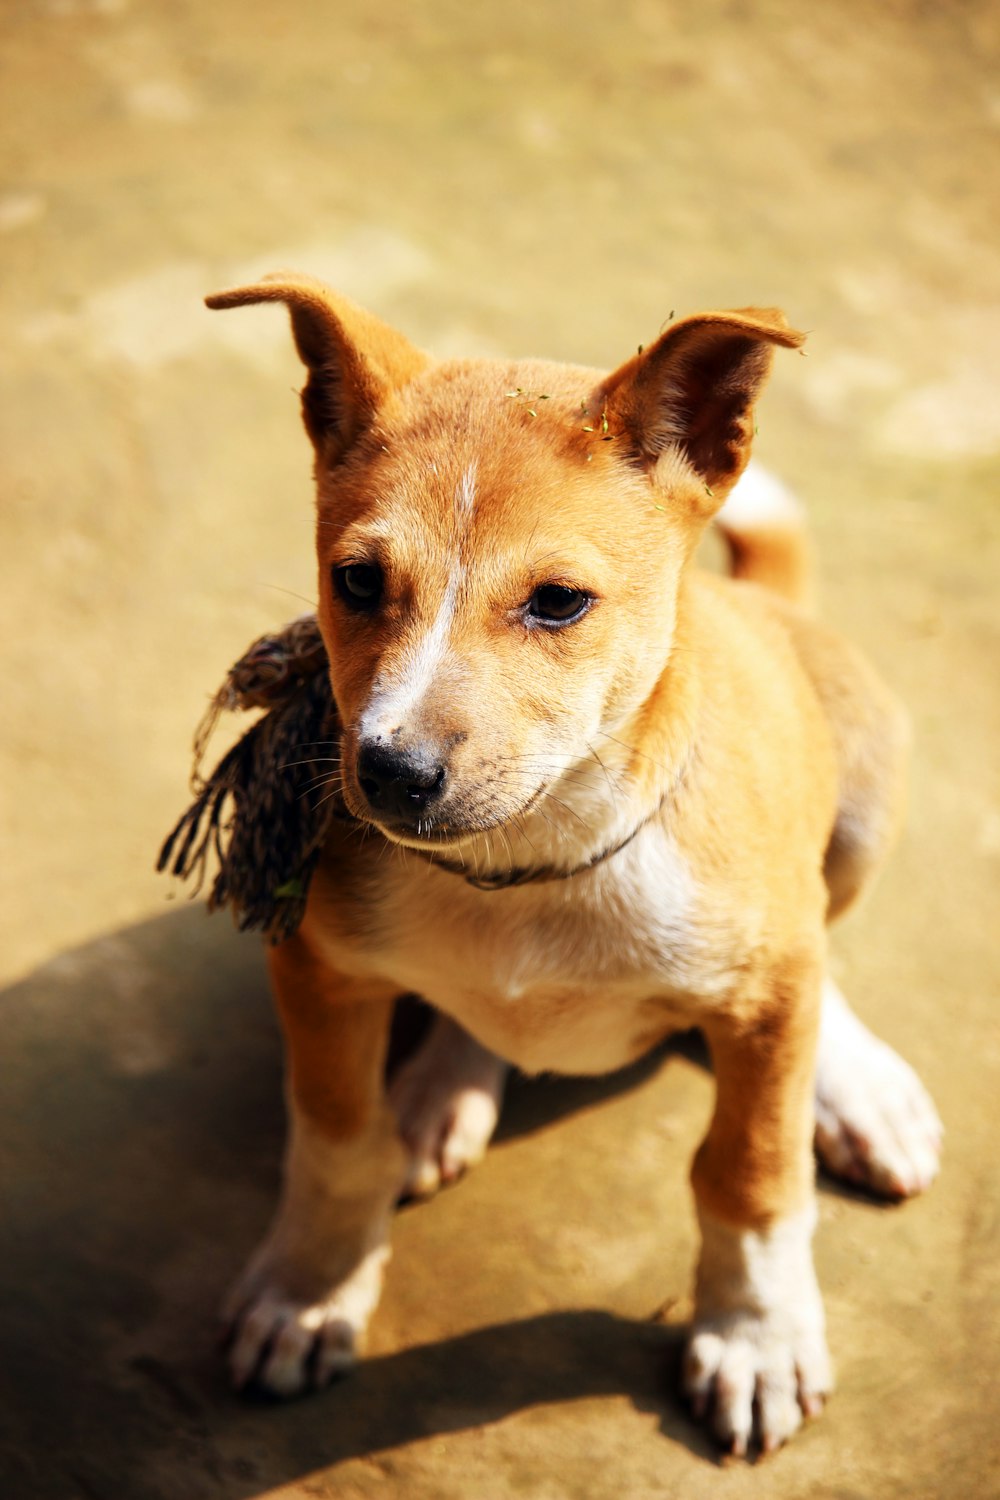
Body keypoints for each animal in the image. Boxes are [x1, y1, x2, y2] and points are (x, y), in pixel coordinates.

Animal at [200, 276, 941, 1458]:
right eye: (356, 580)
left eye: (557, 602)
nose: (390, 773)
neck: (536, 866)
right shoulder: (317, 971)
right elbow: (336, 1138)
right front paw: (309, 1291)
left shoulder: (764, 999)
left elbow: (751, 1173)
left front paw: (757, 1336)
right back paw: (441, 1091)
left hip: (860, 800)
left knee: (824, 953)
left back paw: (862, 1089)